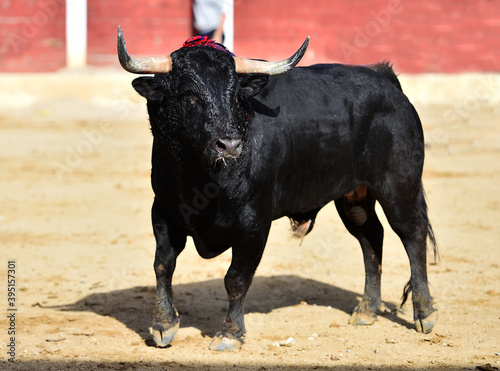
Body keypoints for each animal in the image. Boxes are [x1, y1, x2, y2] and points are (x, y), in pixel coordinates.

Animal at [118, 29, 438, 352]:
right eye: (188, 96)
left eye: (236, 95)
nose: (229, 145)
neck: (200, 175)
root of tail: (386, 79)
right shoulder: (164, 210)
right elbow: (163, 264)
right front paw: (163, 325)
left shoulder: (252, 223)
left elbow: (235, 278)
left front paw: (230, 334)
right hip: (354, 197)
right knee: (371, 237)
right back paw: (366, 310)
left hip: (399, 186)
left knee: (412, 235)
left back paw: (424, 313)